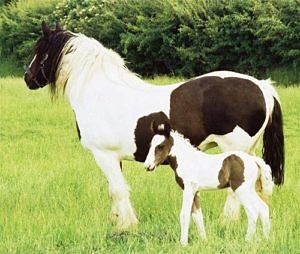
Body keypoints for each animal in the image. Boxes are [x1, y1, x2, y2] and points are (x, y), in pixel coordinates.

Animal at [23, 22, 284, 230]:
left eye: (39, 51)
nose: (27, 78)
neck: (98, 91)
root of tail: (262, 86)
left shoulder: (104, 155)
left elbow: (118, 190)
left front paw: (126, 226)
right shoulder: (113, 158)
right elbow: (114, 190)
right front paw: (117, 221)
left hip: (234, 150)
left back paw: (226, 222)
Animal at [144, 120, 274, 245]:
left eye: (160, 146)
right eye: (150, 145)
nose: (147, 166)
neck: (186, 159)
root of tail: (253, 160)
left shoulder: (188, 189)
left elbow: (185, 215)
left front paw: (183, 243)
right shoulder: (195, 191)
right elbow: (197, 216)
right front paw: (204, 240)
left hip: (241, 190)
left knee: (253, 212)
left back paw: (247, 240)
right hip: (249, 190)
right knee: (263, 208)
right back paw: (266, 239)